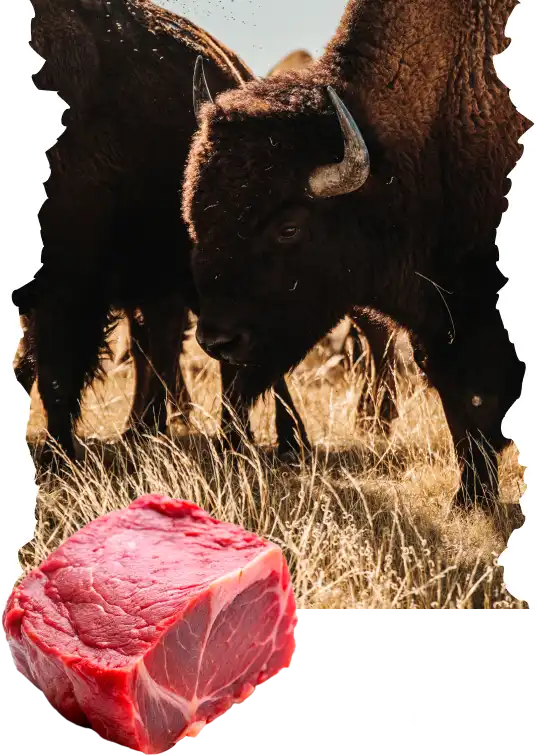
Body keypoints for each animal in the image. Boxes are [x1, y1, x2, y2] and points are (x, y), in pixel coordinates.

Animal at [183, 0, 528, 507]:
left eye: (289, 228)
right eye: (195, 216)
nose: (218, 341)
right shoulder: (443, 326)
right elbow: (464, 409)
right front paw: (469, 497)